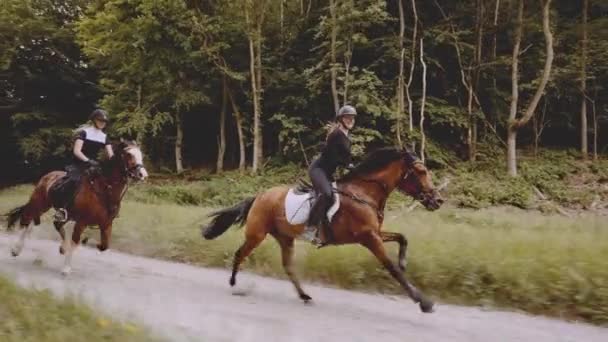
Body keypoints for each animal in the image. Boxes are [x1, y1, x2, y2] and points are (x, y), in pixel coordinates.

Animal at [5, 139, 147, 276]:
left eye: (141, 154)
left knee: (55, 224)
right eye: (128, 154)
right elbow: (75, 241)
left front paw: (90, 243)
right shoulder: (82, 222)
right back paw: (16, 249)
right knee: (28, 220)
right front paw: (66, 268)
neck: (104, 190)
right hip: (40, 203)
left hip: (61, 212)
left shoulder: (106, 224)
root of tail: (49, 175)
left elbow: (104, 245)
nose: (142, 174)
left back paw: (62, 247)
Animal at [202, 147, 444, 312]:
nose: (438, 200)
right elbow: (391, 268)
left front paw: (404, 261)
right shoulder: (369, 237)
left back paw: (304, 296)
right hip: (257, 234)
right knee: (240, 253)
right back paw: (234, 284)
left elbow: (402, 238)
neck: (364, 194)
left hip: (285, 238)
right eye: (421, 171)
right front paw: (423, 302)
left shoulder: (375, 233)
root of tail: (260, 196)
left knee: (288, 266)